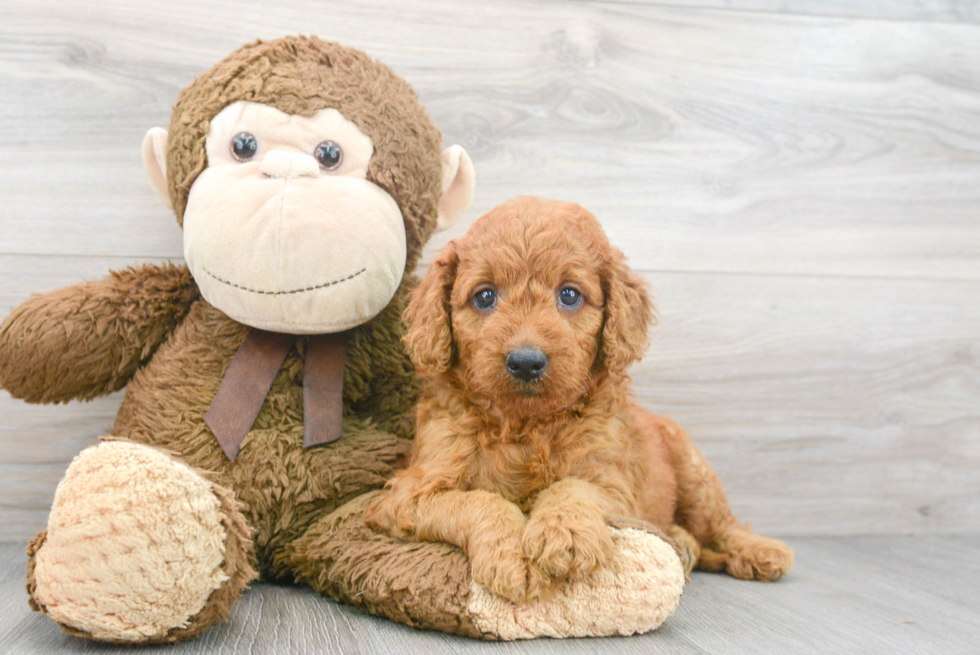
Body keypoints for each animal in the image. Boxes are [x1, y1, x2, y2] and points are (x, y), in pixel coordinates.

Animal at [364, 197, 792, 604]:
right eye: (484, 296)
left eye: (569, 295)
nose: (525, 361)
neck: (526, 424)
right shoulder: (409, 492)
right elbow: (478, 501)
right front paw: (513, 556)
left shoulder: (613, 483)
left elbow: (573, 487)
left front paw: (564, 533)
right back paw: (684, 547)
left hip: (695, 475)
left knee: (719, 527)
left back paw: (759, 551)